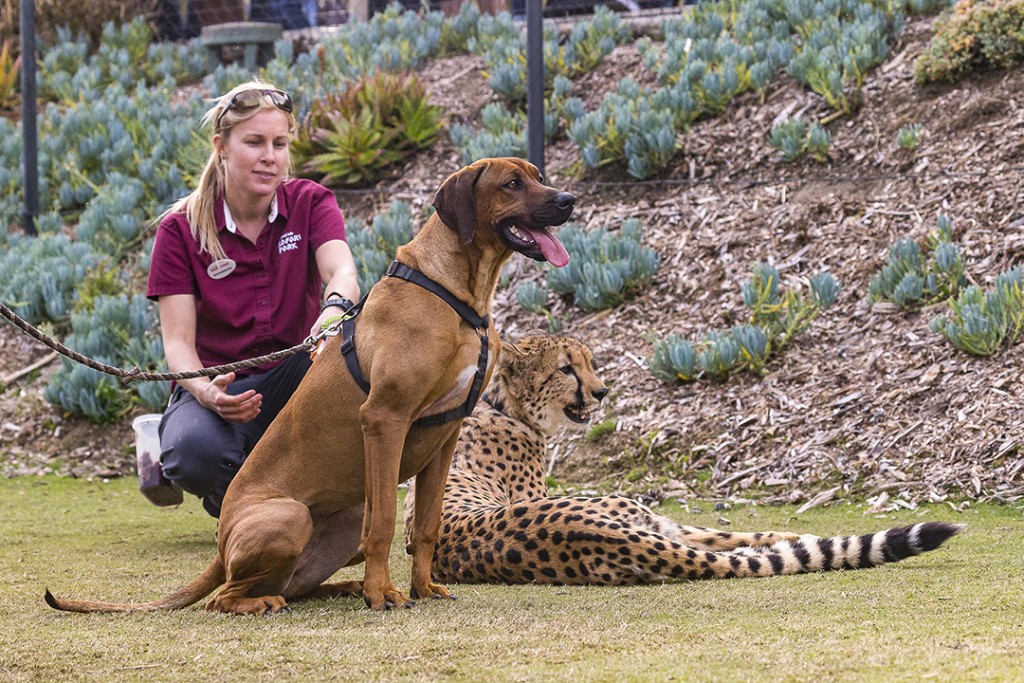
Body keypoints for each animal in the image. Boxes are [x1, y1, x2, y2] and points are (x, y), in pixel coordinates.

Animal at [46, 158, 577, 614]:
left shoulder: (445, 437)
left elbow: (426, 526)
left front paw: (422, 588)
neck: (455, 294)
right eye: (512, 183)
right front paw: (384, 595)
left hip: (345, 518)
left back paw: (341, 587)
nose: (568, 199)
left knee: (297, 583)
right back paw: (273, 601)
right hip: (290, 517)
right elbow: (386, 522)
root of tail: (221, 544)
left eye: (538, 176)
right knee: (224, 596)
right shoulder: (384, 420)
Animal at [403, 335, 962, 589]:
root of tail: (579, 532)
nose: (602, 392)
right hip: (631, 512)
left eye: (589, 362)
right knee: (726, 545)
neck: (503, 405)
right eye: (566, 369)